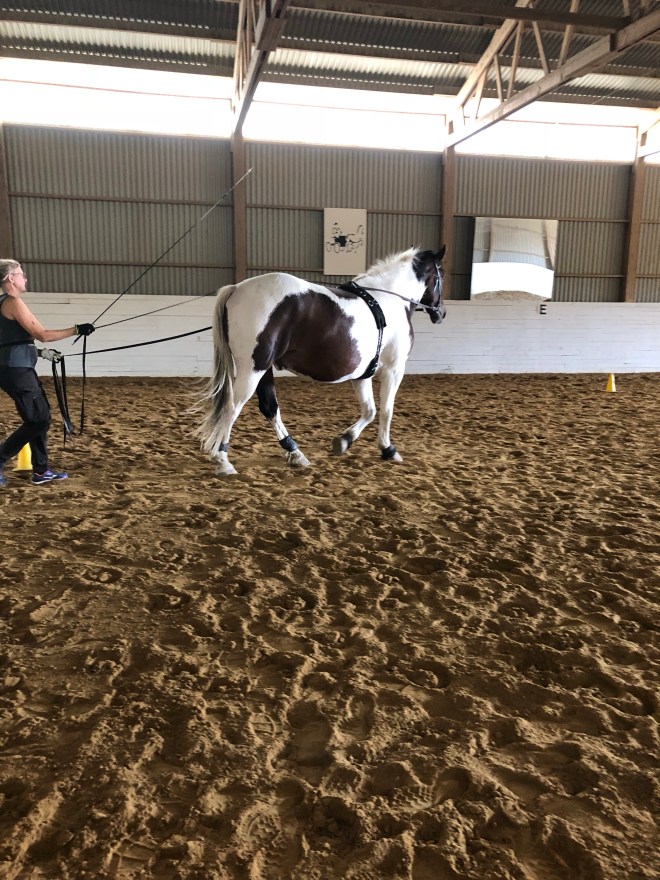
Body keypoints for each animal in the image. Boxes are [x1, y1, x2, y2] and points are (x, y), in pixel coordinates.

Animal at [199, 245, 446, 476]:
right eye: (440, 274)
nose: (440, 313)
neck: (388, 301)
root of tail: (236, 289)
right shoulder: (394, 369)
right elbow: (386, 410)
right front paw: (388, 449)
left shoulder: (362, 374)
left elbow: (370, 410)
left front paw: (344, 441)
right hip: (253, 369)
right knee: (233, 408)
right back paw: (223, 460)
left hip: (263, 369)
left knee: (269, 408)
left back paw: (295, 453)